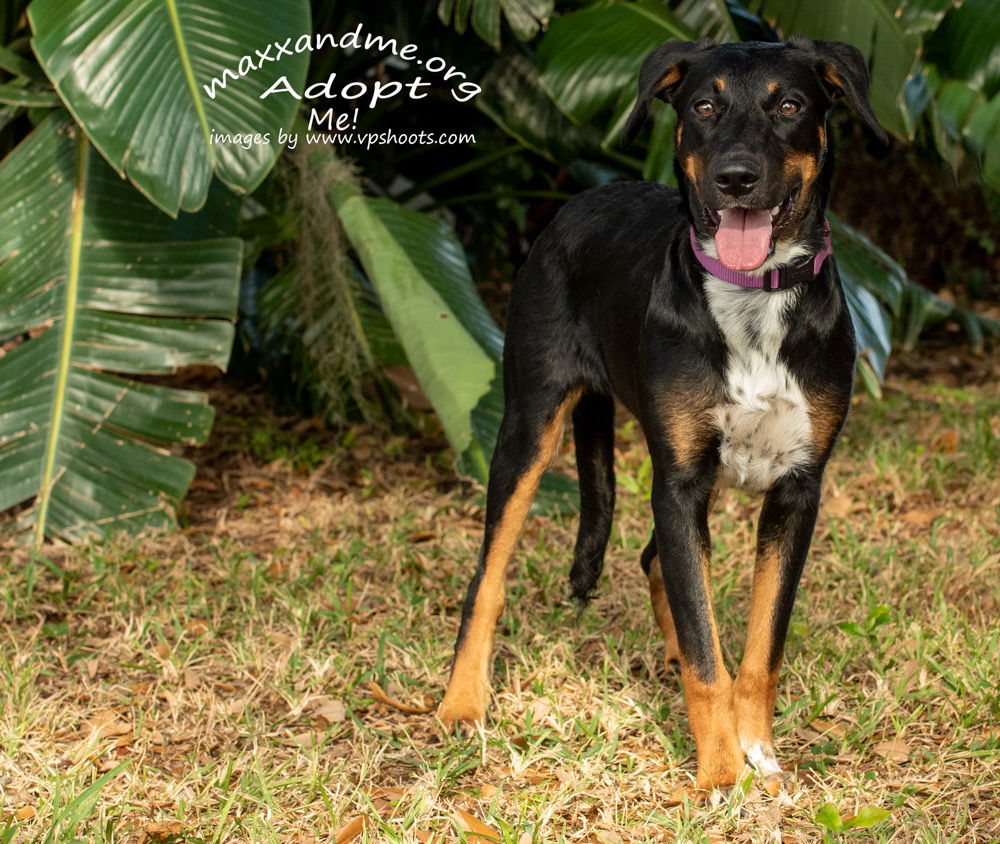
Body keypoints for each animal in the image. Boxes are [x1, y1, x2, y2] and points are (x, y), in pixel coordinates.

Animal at [442, 38, 888, 792]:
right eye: (704, 105)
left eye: (790, 105)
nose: (736, 178)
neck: (753, 298)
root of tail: (582, 197)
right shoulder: (678, 482)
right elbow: (710, 659)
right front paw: (720, 775)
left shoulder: (798, 489)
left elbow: (760, 648)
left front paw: (757, 752)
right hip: (529, 424)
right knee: (487, 579)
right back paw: (462, 701)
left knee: (658, 562)